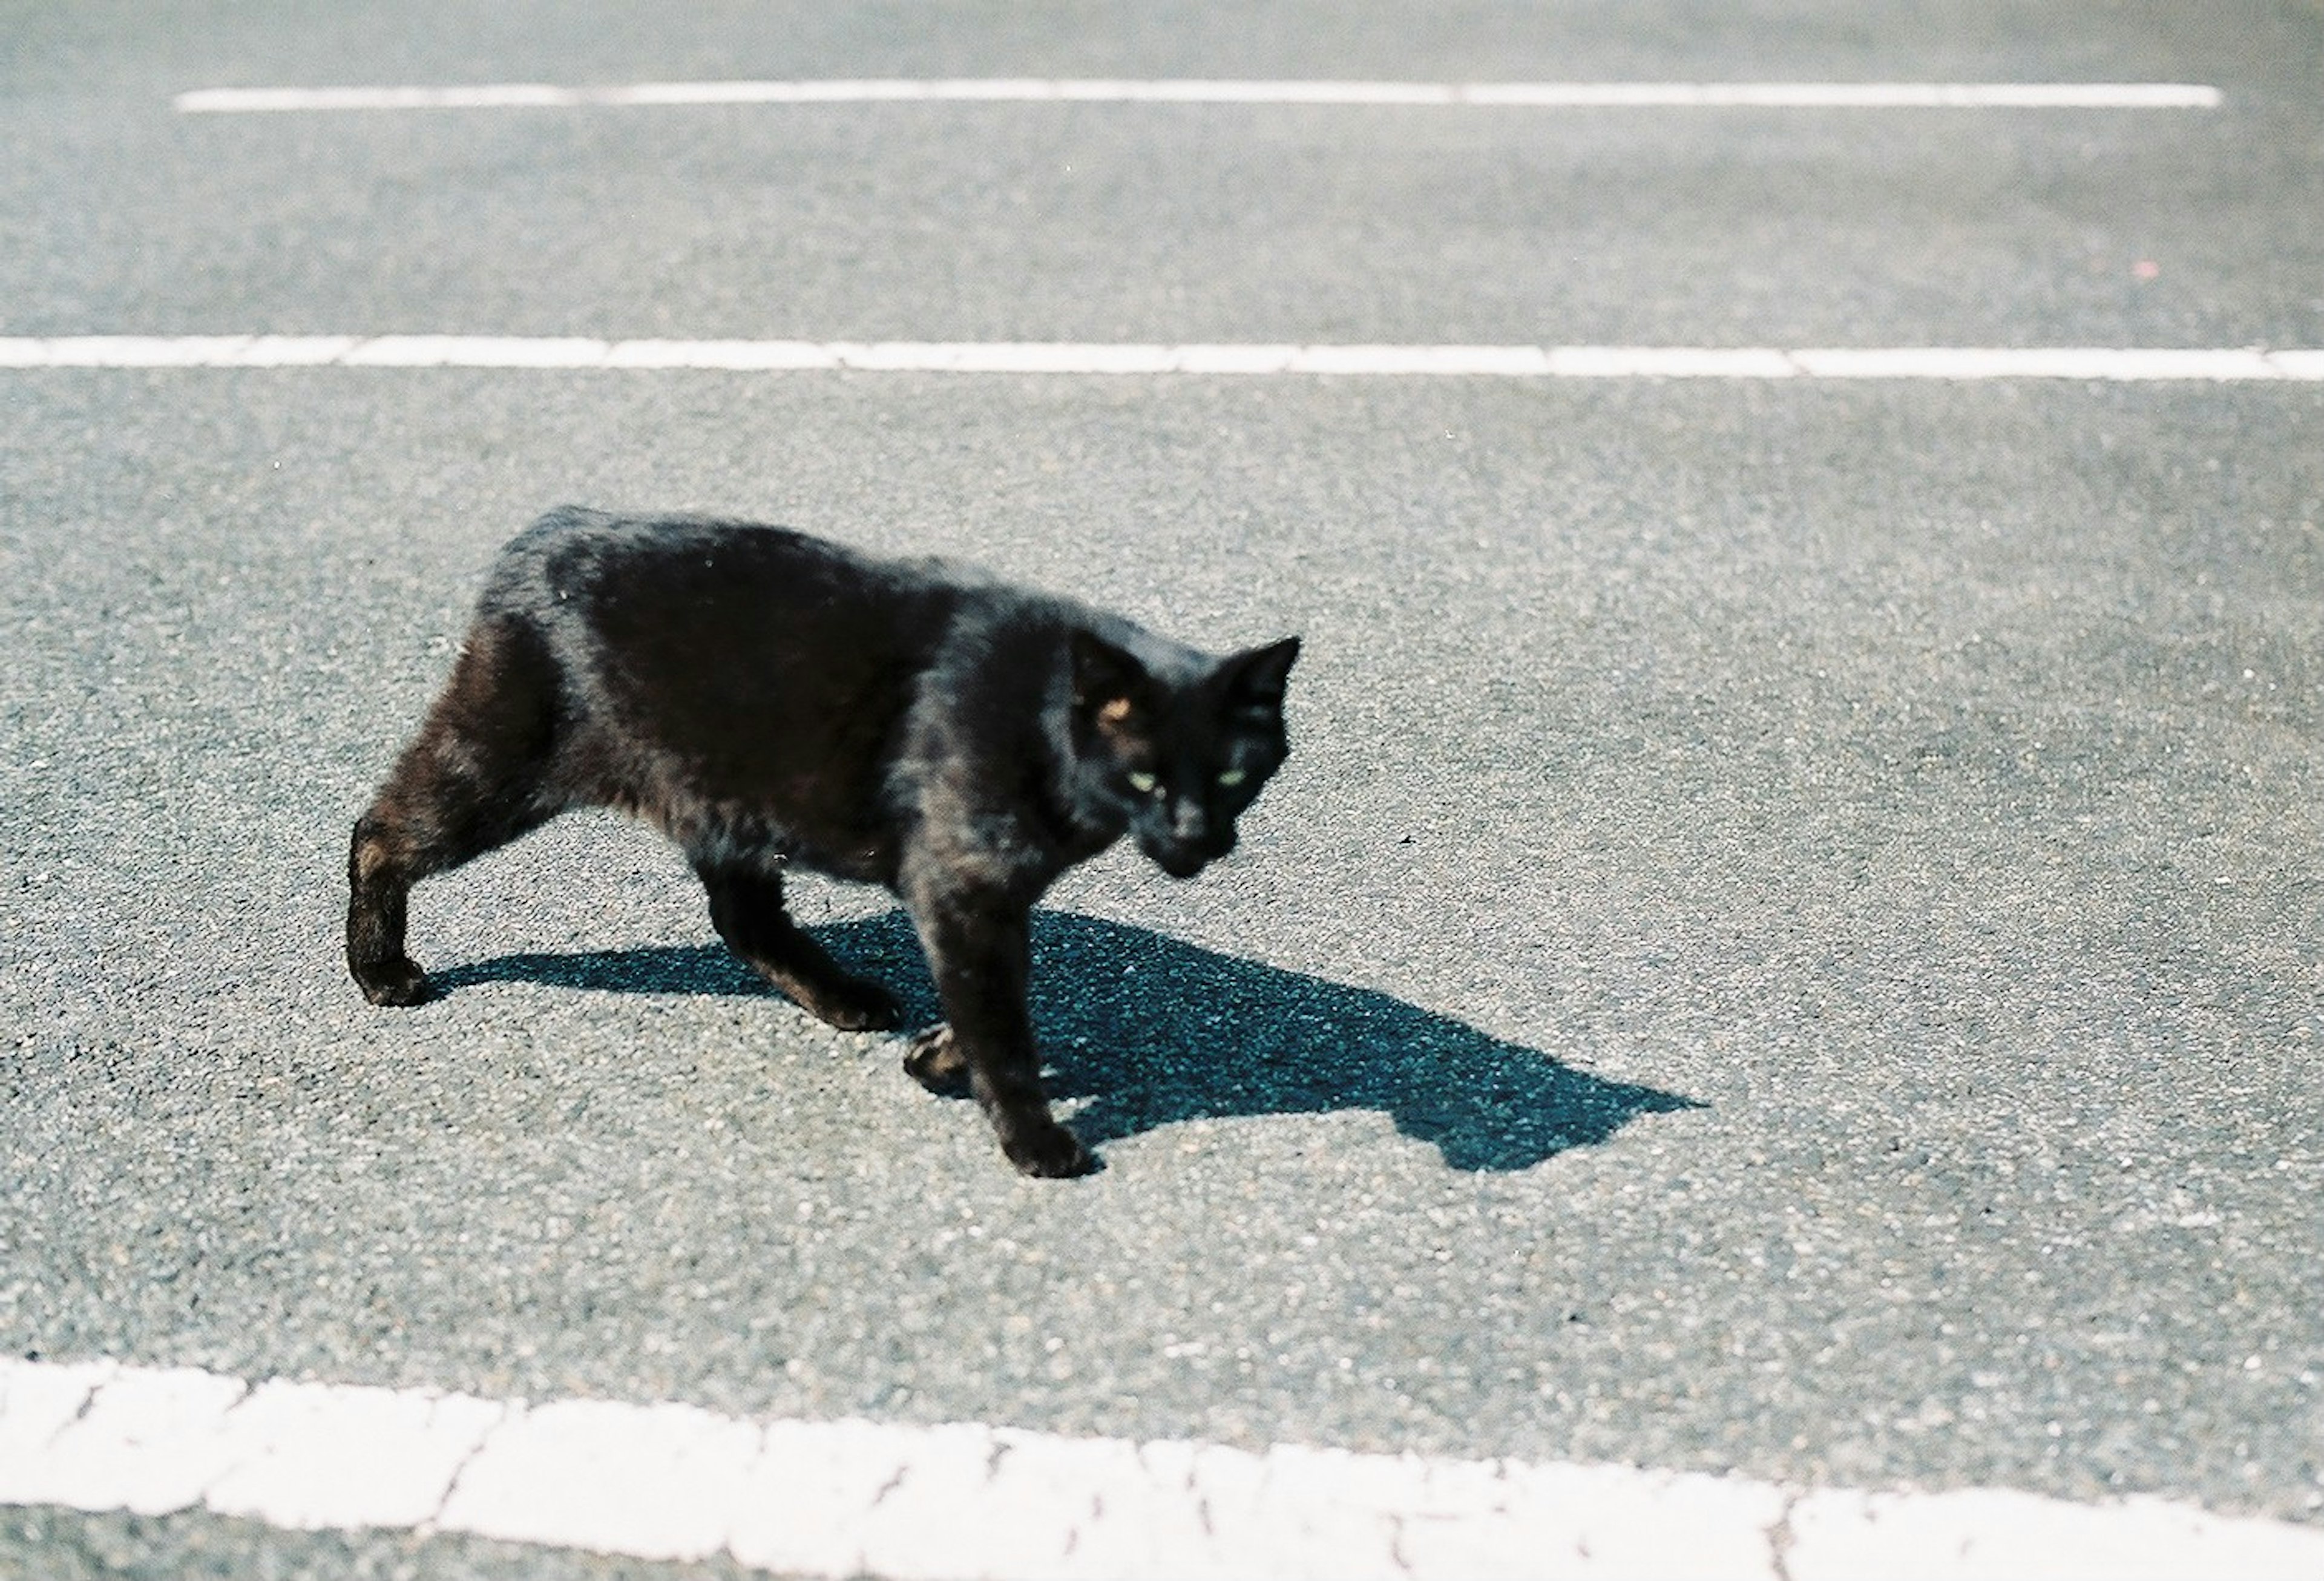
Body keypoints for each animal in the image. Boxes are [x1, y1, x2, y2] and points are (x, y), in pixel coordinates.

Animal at [341, 506, 1301, 1171]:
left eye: (1230, 778)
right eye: (1144, 778)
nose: (1196, 837)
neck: (1041, 725)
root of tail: (546, 531)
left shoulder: (985, 901)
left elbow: (987, 1003)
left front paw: (934, 1058)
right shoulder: (960, 886)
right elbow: (1001, 1023)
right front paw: (1034, 1140)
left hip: (726, 801)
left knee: (743, 919)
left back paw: (843, 997)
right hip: (502, 761)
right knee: (379, 832)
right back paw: (378, 970)